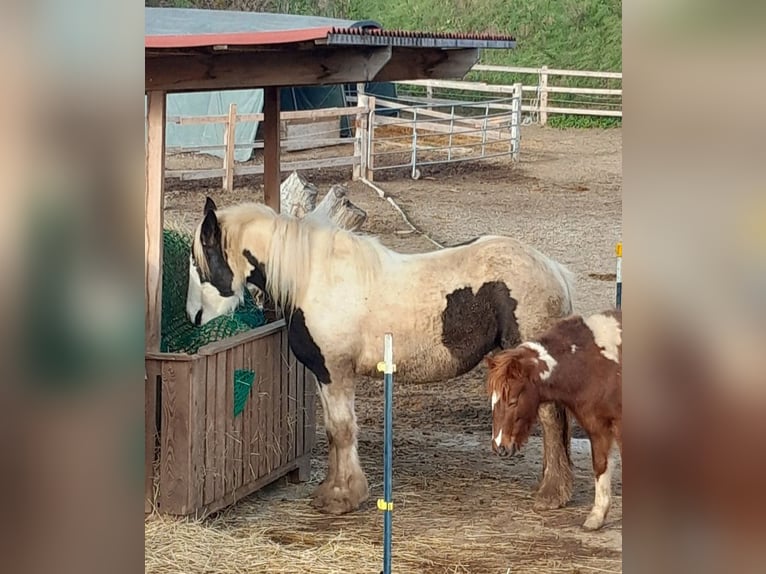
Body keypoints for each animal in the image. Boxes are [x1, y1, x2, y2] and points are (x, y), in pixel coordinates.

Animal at [189, 199, 580, 516]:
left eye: (199, 261)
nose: (194, 318)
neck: (315, 278)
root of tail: (552, 269)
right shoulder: (323, 373)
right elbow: (332, 431)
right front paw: (332, 491)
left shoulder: (336, 372)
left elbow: (343, 430)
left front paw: (343, 497)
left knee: (550, 420)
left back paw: (551, 494)